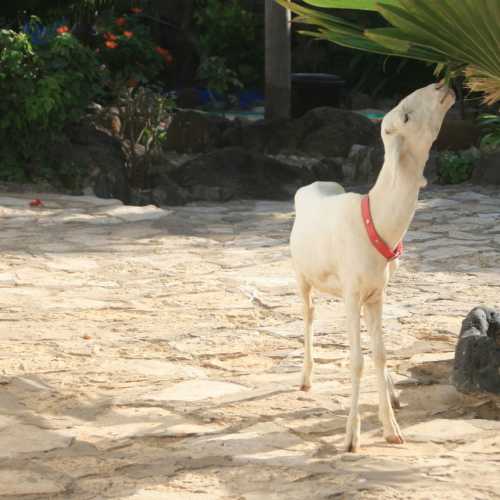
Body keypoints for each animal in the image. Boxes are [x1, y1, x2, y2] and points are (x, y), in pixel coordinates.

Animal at [290, 83, 458, 454]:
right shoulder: (352, 293)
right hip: (301, 275)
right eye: (406, 116)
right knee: (309, 314)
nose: (442, 86)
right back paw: (306, 379)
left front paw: (392, 429)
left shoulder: (376, 293)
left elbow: (379, 354)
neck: (375, 221)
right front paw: (351, 438)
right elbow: (357, 361)